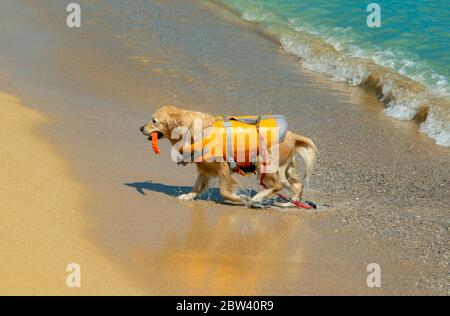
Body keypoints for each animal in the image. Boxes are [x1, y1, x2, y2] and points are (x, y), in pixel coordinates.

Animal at [141, 105, 316, 206]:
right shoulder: (204, 168)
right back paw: (290, 203)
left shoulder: (223, 167)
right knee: (296, 185)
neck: (193, 130)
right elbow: (197, 185)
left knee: (277, 185)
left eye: (154, 121)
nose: (141, 128)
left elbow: (225, 191)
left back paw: (257, 198)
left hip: (265, 165)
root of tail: (292, 135)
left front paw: (240, 198)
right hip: (283, 169)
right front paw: (189, 196)